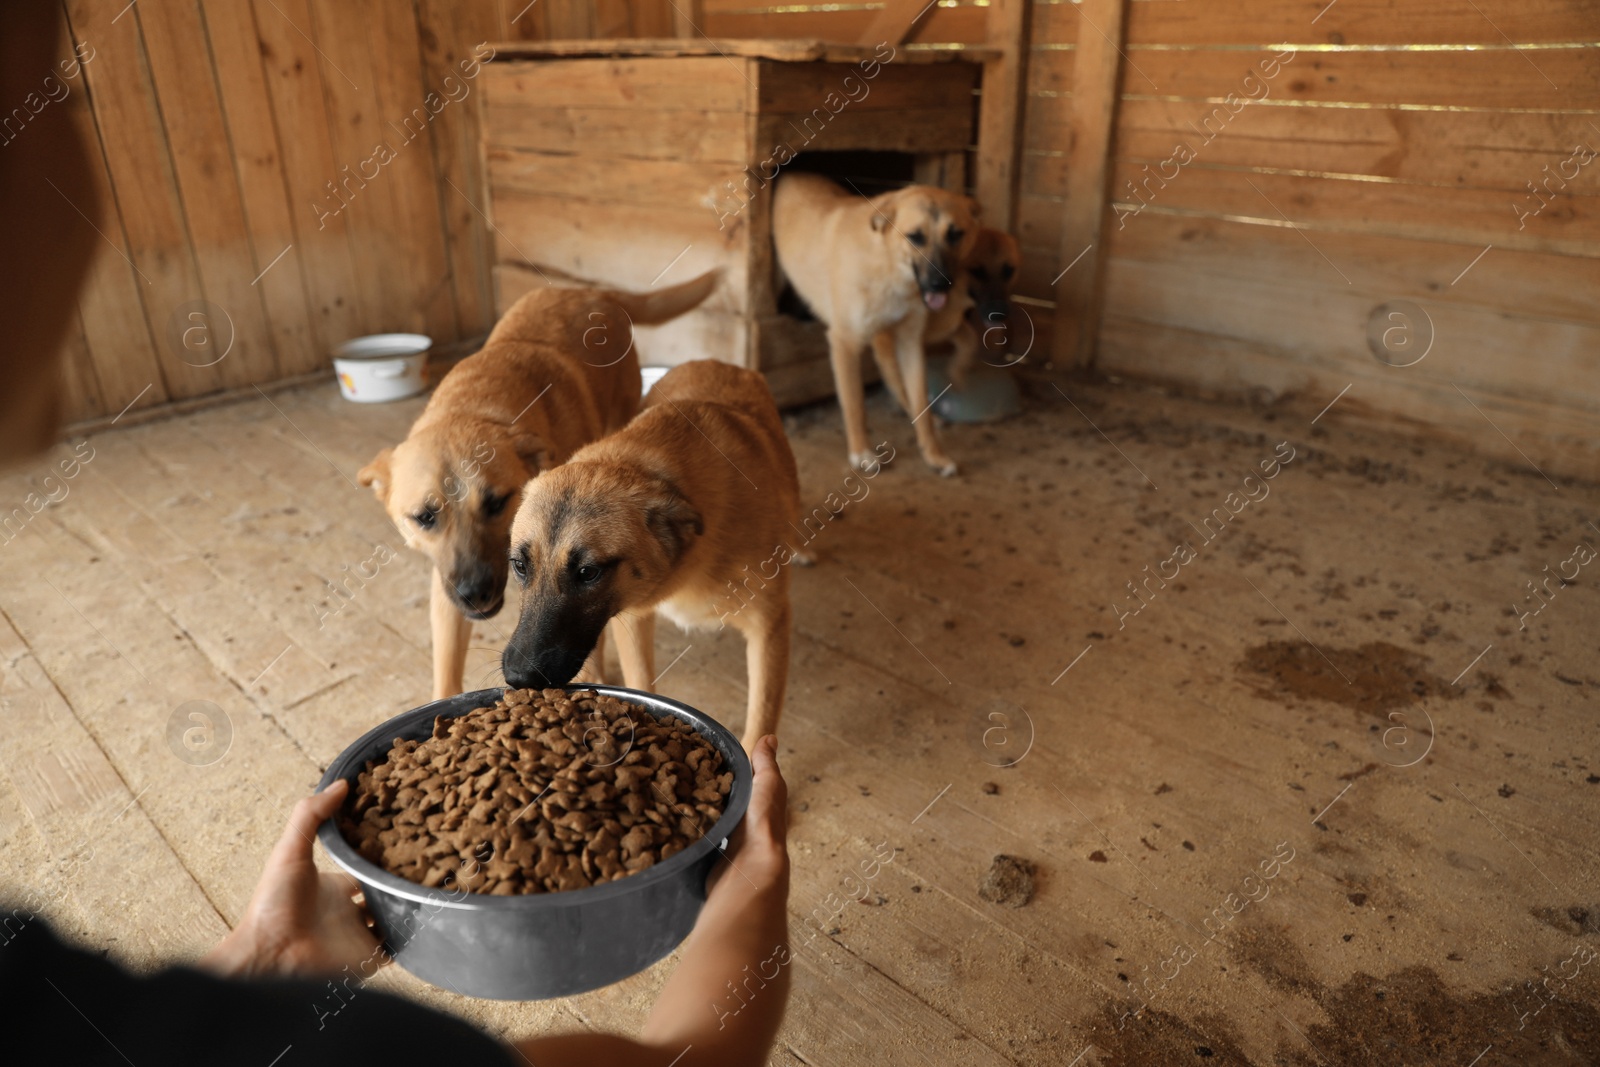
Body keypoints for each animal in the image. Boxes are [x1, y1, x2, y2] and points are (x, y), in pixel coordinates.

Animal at [363, 271, 720, 700]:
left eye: (497, 503)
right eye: (424, 517)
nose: (475, 594)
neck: (475, 404)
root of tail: (591, 291)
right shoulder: (445, 589)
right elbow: (446, 673)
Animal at [499, 358, 800, 751]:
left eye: (588, 572)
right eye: (520, 566)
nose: (518, 678)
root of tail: (713, 361)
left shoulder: (769, 627)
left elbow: (762, 716)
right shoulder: (634, 618)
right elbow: (641, 682)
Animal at [771, 171, 979, 476]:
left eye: (955, 234)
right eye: (915, 237)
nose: (941, 285)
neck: (890, 270)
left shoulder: (909, 342)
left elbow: (920, 401)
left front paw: (935, 454)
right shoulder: (844, 343)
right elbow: (855, 404)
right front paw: (861, 453)